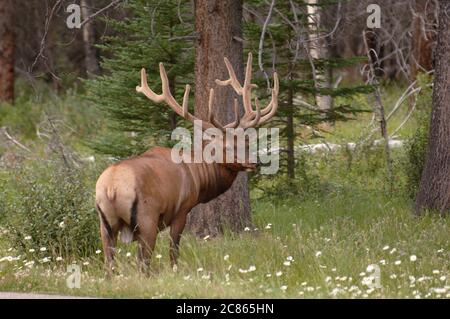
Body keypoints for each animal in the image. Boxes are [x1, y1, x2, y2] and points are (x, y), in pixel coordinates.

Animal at [95, 53, 278, 272]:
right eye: (226, 147)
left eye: (247, 142)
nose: (255, 162)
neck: (199, 177)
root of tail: (111, 188)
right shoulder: (182, 210)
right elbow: (174, 250)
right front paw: (175, 271)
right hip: (147, 218)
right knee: (142, 263)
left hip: (104, 223)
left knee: (109, 264)